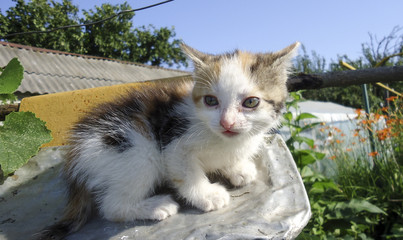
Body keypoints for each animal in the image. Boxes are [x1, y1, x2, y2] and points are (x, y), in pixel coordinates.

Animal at [33, 42, 300, 239]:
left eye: (251, 102)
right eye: (211, 101)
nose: (227, 123)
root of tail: (75, 155)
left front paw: (237, 168)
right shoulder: (174, 141)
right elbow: (187, 173)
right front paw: (207, 195)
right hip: (136, 148)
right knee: (112, 206)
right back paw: (156, 206)